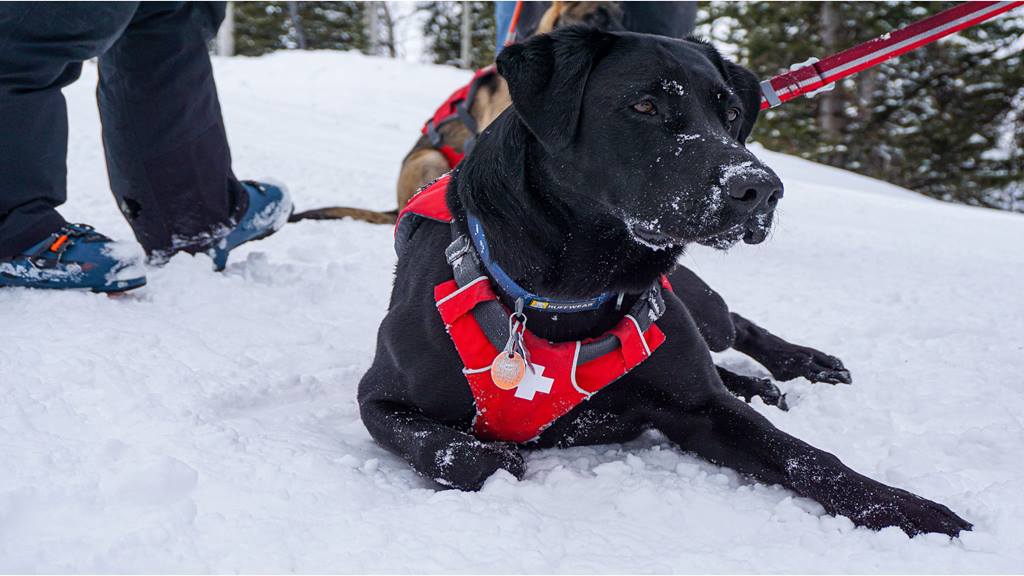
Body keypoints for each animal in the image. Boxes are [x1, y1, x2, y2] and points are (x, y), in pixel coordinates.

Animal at [358, 26, 966, 537]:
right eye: (645, 105)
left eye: (731, 113)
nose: (761, 189)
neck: (569, 291)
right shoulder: (379, 400)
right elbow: (460, 453)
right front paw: (497, 455)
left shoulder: (704, 409)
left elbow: (809, 457)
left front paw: (910, 510)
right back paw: (759, 383)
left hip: (698, 311)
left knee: (735, 326)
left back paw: (801, 364)